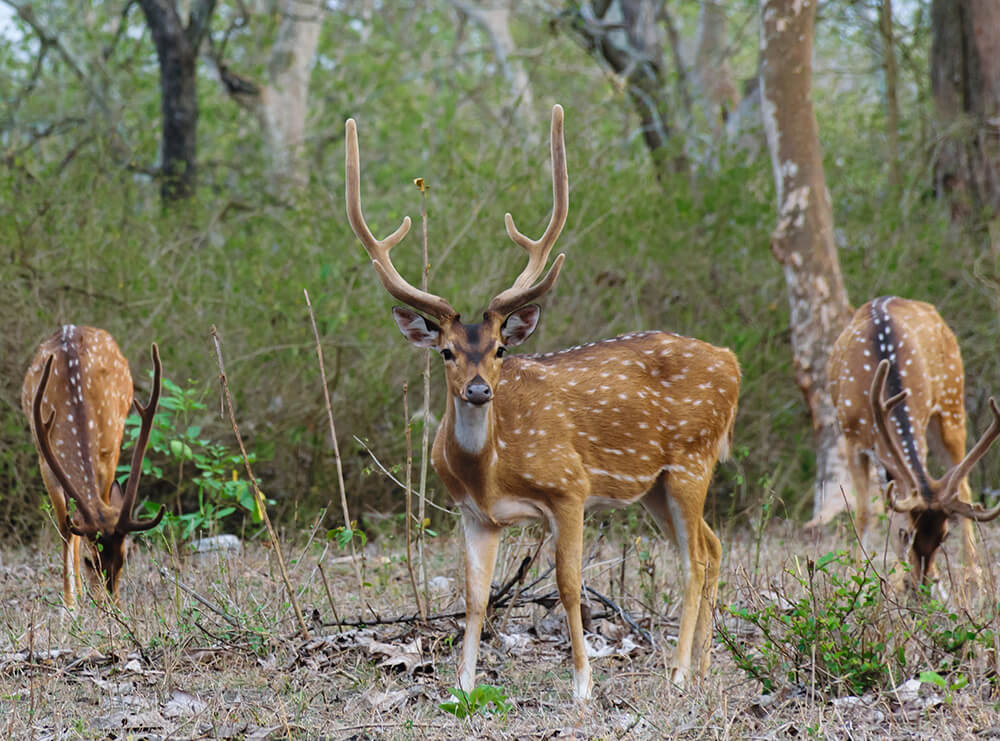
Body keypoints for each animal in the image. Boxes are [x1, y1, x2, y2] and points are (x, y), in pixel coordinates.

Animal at [20, 326, 165, 604]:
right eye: (90, 561)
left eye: (124, 557)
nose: (111, 605)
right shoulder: (45, 461)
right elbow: (65, 528)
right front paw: (70, 606)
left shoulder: (110, 450)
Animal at [346, 104, 744, 700]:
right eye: (445, 351)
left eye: (500, 348)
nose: (479, 389)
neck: (492, 469)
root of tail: (732, 361)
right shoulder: (475, 515)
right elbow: (475, 597)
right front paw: (462, 686)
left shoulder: (569, 488)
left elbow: (569, 585)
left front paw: (583, 686)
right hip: (655, 485)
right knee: (712, 546)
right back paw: (702, 670)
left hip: (692, 459)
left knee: (695, 557)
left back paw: (676, 673)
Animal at [828, 294, 1000, 588]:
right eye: (905, 533)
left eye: (944, 535)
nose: (924, 580)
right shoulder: (851, 438)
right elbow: (864, 513)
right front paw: (858, 578)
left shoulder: (920, 424)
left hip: (952, 404)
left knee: (964, 486)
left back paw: (973, 572)